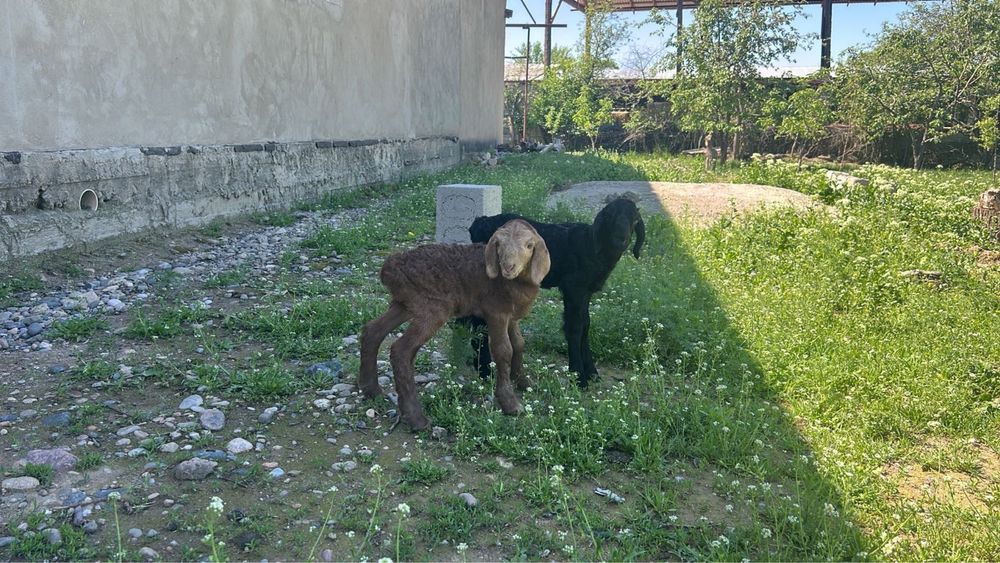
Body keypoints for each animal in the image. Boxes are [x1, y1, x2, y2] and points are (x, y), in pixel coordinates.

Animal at [359, 220, 550, 430]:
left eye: (529, 245)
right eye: (498, 245)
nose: (508, 267)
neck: (513, 284)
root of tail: (388, 269)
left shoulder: (512, 316)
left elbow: (519, 344)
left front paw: (524, 382)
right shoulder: (496, 312)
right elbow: (503, 350)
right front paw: (510, 403)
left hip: (406, 303)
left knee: (373, 331)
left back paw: (371, 390)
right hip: (432, 307)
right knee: (401, 350)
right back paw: (417, 419)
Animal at [465, 197, 645, 387]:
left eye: (635, 220)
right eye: (609, 216)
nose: (621, 240)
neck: (591, 246)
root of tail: (479, 223)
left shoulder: (585, 292)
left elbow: (586, 325)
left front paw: (592, 373)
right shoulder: (573, 287)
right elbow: (575, 327)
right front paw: (579, 376)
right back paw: (485, 371)